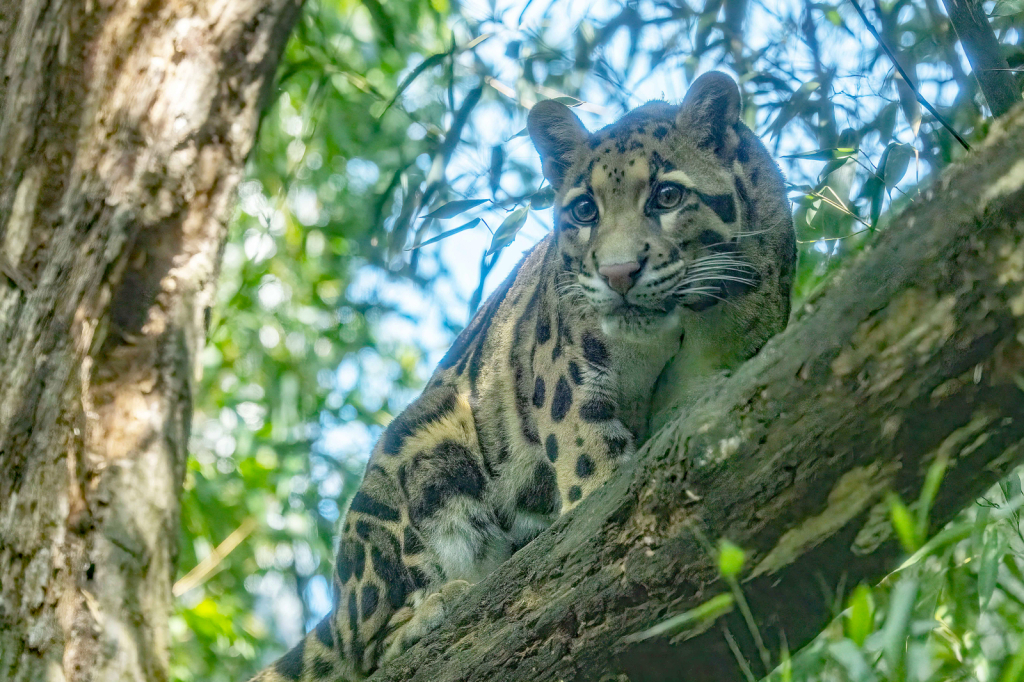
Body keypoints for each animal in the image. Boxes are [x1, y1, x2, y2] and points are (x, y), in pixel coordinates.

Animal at [251, 70, 794, 679]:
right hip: (422, 453)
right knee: (360, 646)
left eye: (668, 196)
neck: (694, 315)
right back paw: (432, 608)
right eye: (584, 212)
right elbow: (594, 471)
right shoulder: (569, 379)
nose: (619, 274)